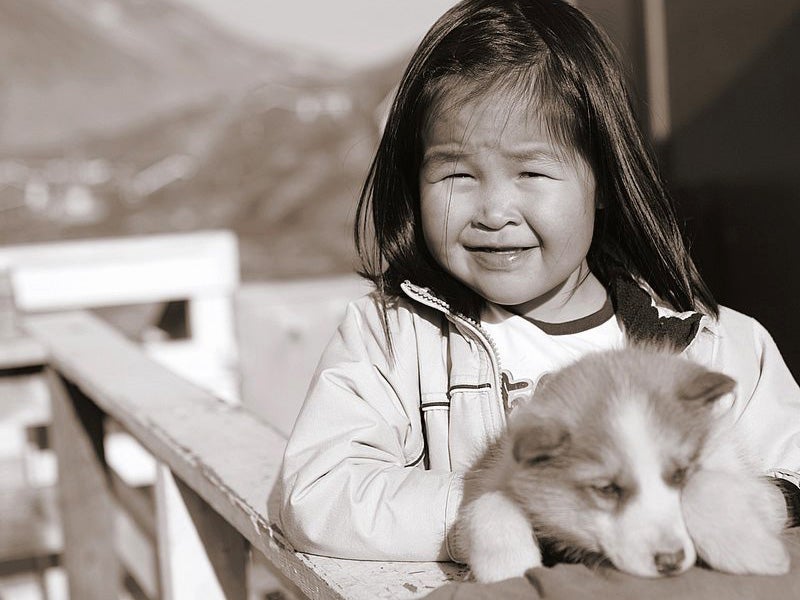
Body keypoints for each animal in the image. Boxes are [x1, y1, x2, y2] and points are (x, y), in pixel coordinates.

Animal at [454, 344, 792, 584]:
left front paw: (749, 550)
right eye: (607, 489)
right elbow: (489, 502)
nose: (670, 562)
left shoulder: (754, 485)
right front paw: (509, 569)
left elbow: (705, 484)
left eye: (680, 474)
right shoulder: (493, 474)